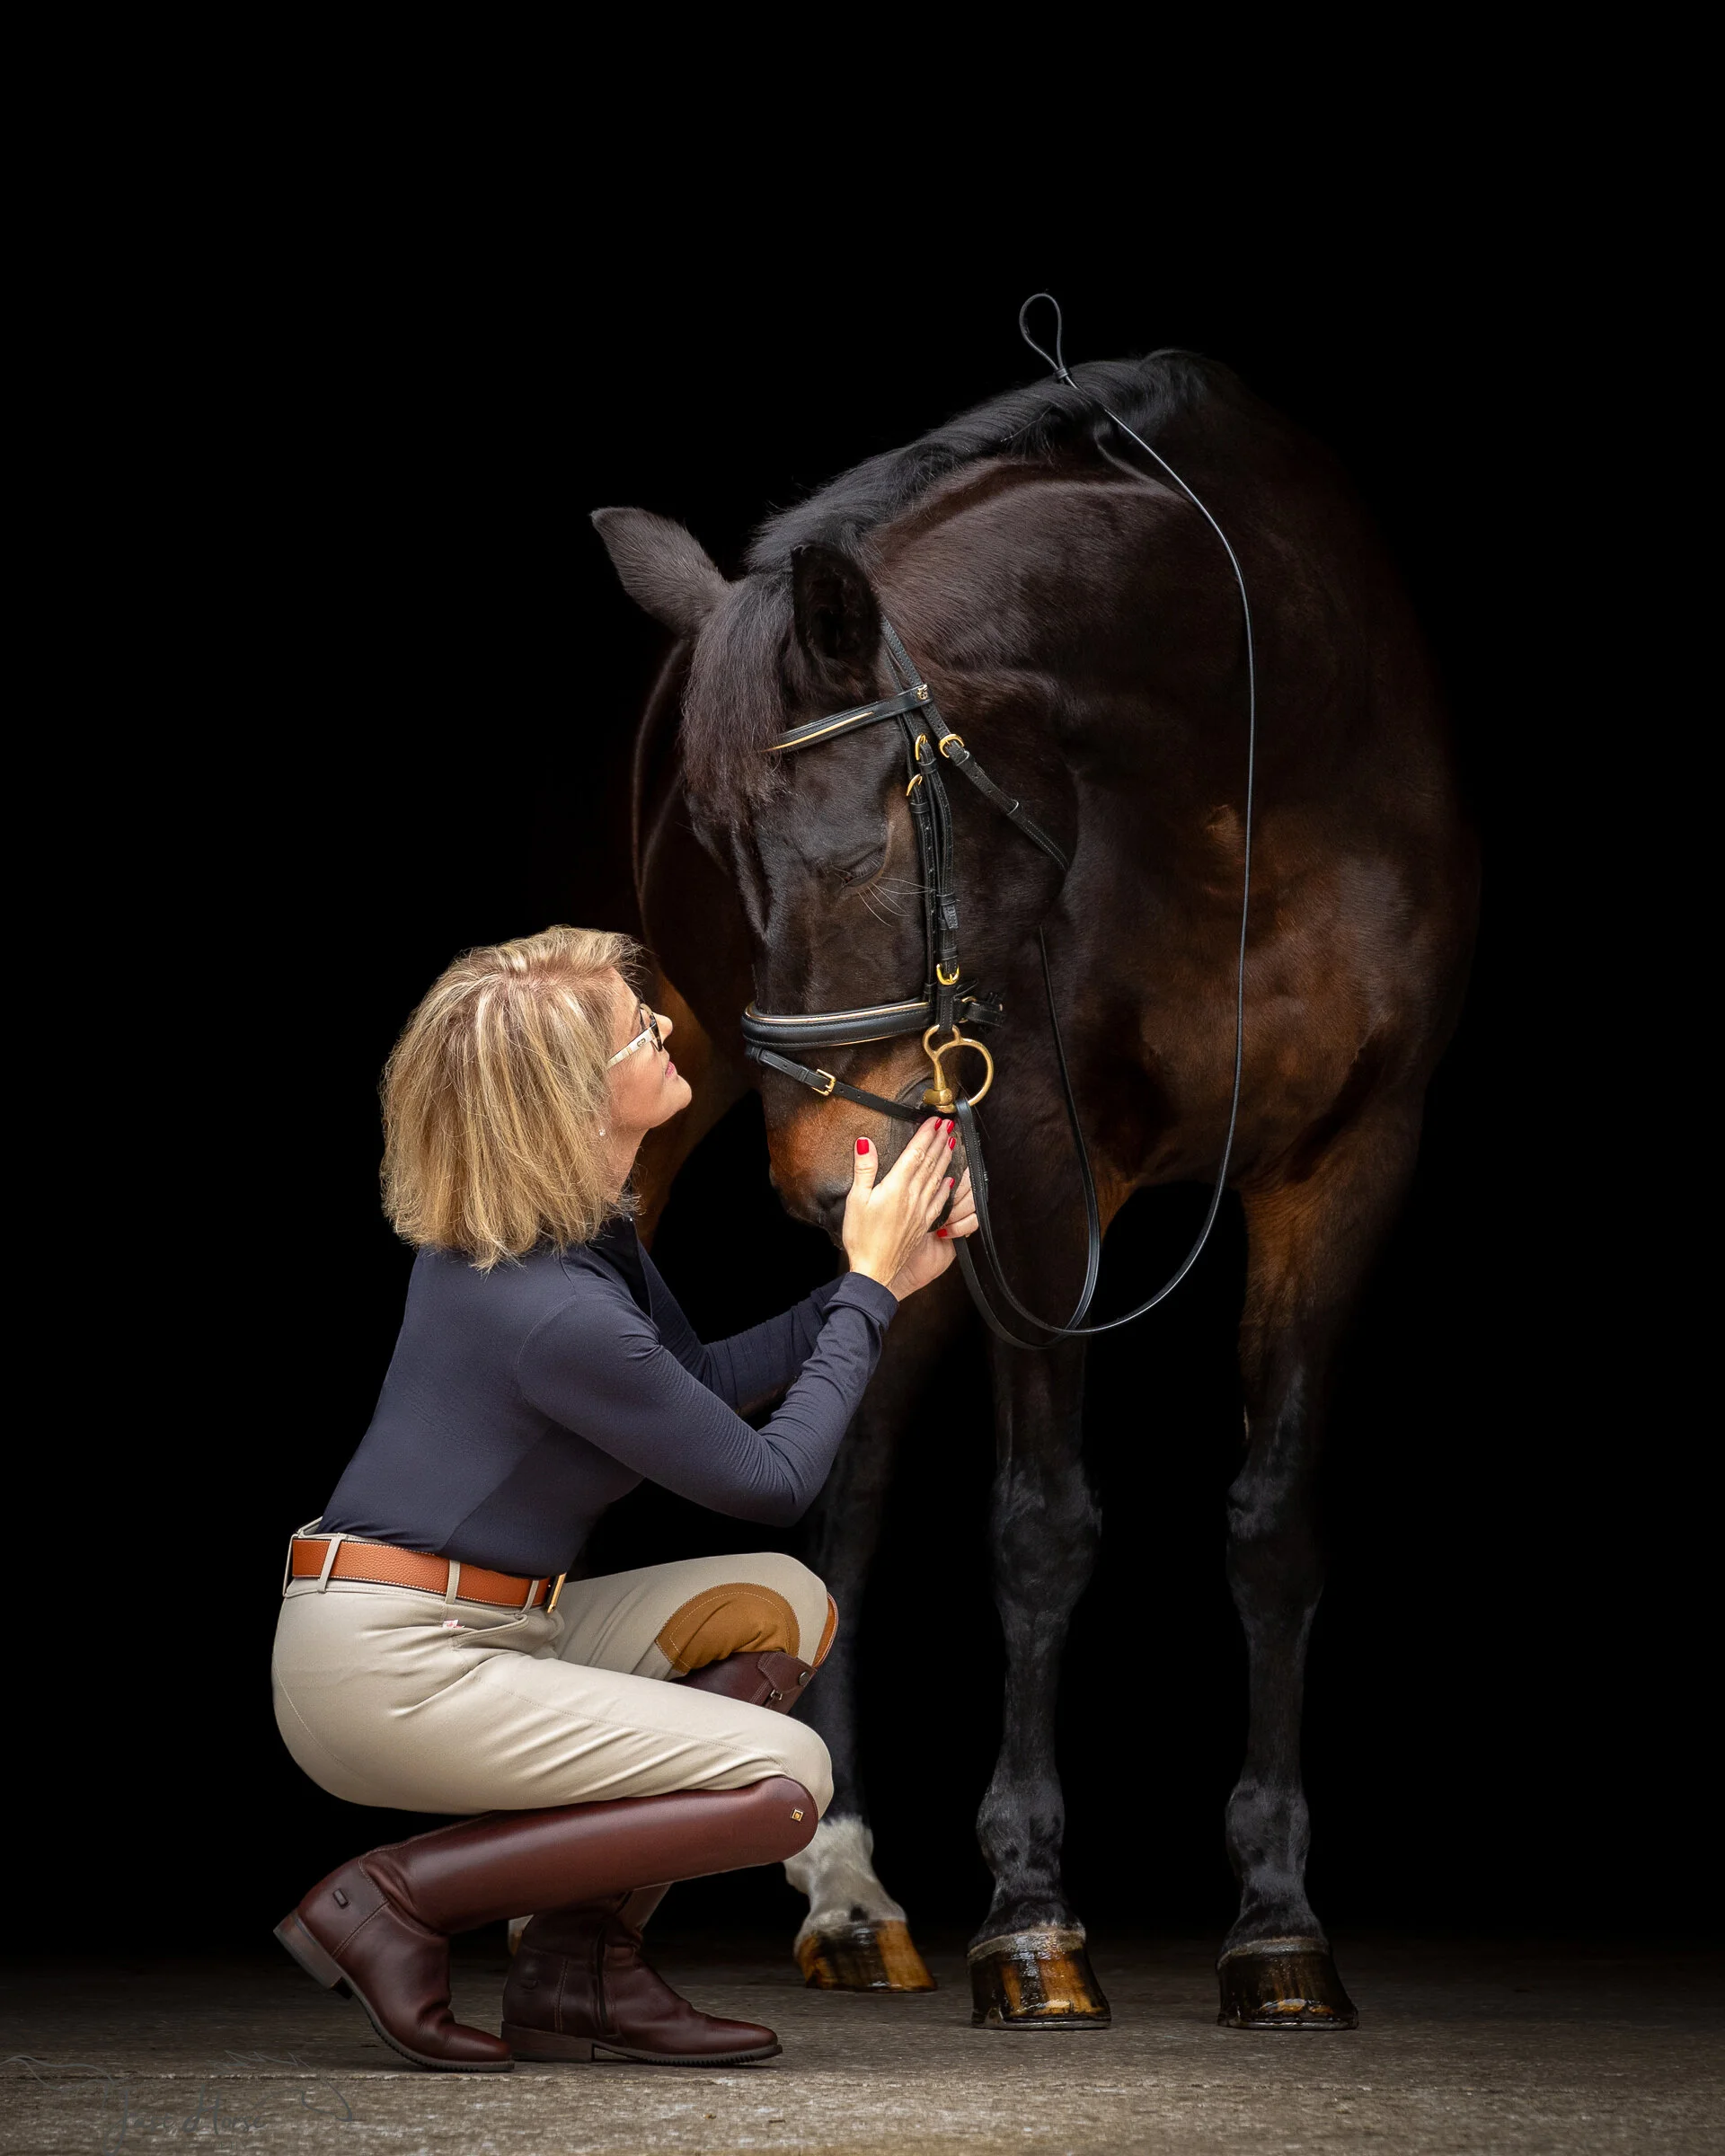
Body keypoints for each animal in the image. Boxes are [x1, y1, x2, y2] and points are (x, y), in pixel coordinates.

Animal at [592, 348, 1477, 2030]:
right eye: (718, 849)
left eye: (865, 828)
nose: (819, 1169)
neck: (1245, 765)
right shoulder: (1040, 1163)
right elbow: (1043, 1528)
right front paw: (1032, 1919)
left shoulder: (1344, 1166)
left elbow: (1275, 1525)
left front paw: (1279, 1923)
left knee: (854, 1466)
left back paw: (846, 1880)